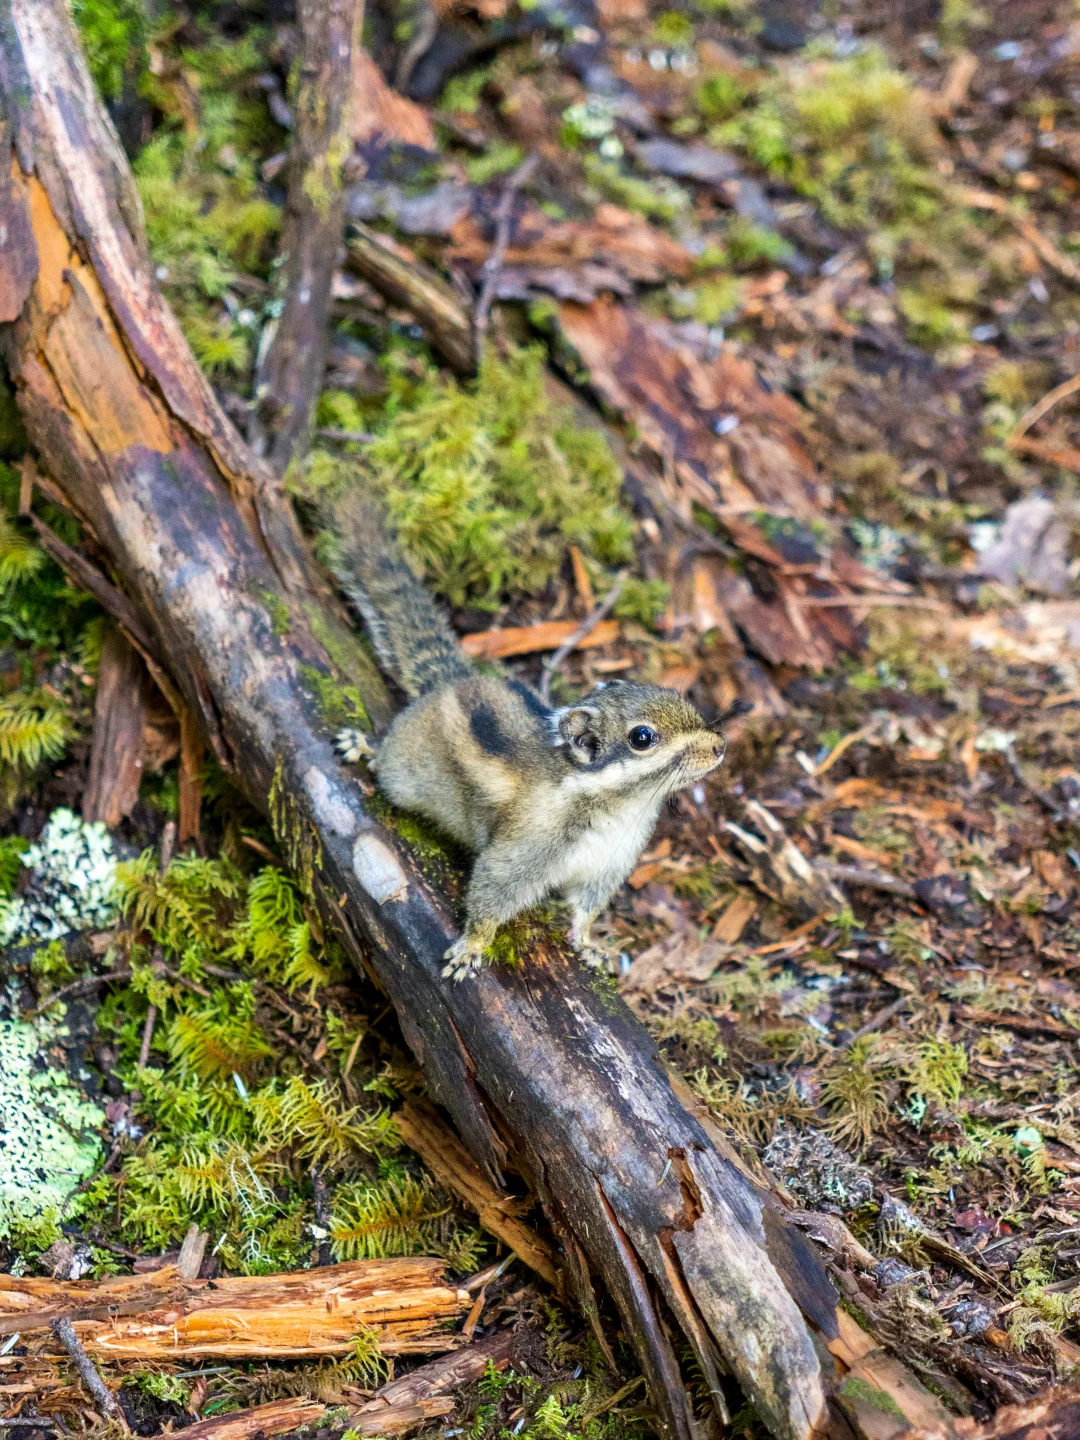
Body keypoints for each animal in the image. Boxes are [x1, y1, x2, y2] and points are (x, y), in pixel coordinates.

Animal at [328, 486, 728, 979]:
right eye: (642, 738)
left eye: (674, 692)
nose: (720, 746)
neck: (616, 806)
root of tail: (452, 679)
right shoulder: (522, 850)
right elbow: (490, 893)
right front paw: (472, 946)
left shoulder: (608, 864)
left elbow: (586, 909)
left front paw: (589, 944)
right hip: (404, 771)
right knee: (386, 761)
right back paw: (364, 746)